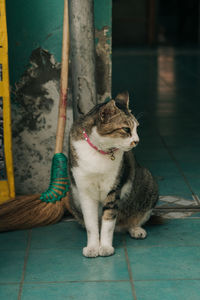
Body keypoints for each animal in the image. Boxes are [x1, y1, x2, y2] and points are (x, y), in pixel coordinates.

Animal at [68, 92, 159, 258]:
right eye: (126, 129)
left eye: (137, 128)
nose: (137, 141)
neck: (100, 151)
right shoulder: (85, 191)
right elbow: (91, 223)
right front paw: (92, 247)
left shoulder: (114, 189)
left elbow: (108, 222)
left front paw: (105, 247)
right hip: (72, 196)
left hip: (148, 181)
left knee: (133, 219)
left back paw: (136, 229)